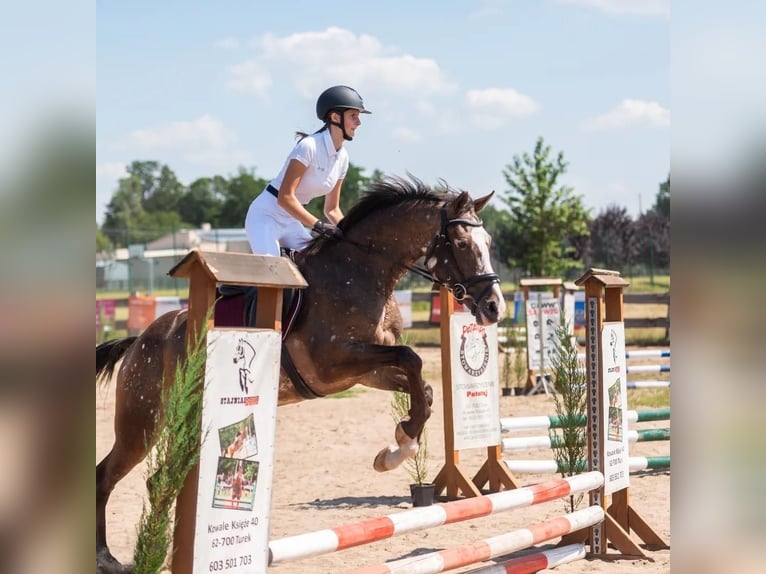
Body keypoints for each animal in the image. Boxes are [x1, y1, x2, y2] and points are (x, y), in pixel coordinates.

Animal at [96, 175, 506, 573]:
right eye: (462, 243)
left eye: (488, 242)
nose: (494, 308)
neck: (362, 271)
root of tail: (141, 340)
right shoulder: (333, 362)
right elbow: (411, 358)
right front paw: (399, 445)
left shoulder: (365, 372)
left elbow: (424, 387)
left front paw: (397, 446)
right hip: (142, 423)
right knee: (108, 475)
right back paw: (110, 558)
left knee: (158, 479)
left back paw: (158, 552)